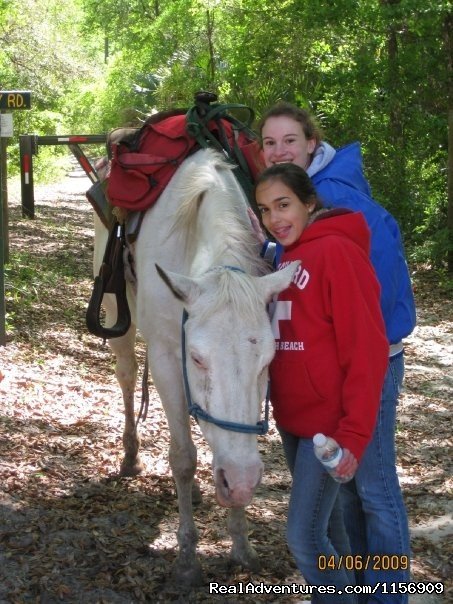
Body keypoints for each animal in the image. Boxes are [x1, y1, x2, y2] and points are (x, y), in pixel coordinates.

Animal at [92, 149, 296, 588]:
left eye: (267, 362)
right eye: (198, 358)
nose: (241, 480)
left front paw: (240, 545)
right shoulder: (169, 357)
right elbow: (183, 458)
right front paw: (186, 557)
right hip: (118, 315)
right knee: (127, 373)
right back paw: (131, 455)